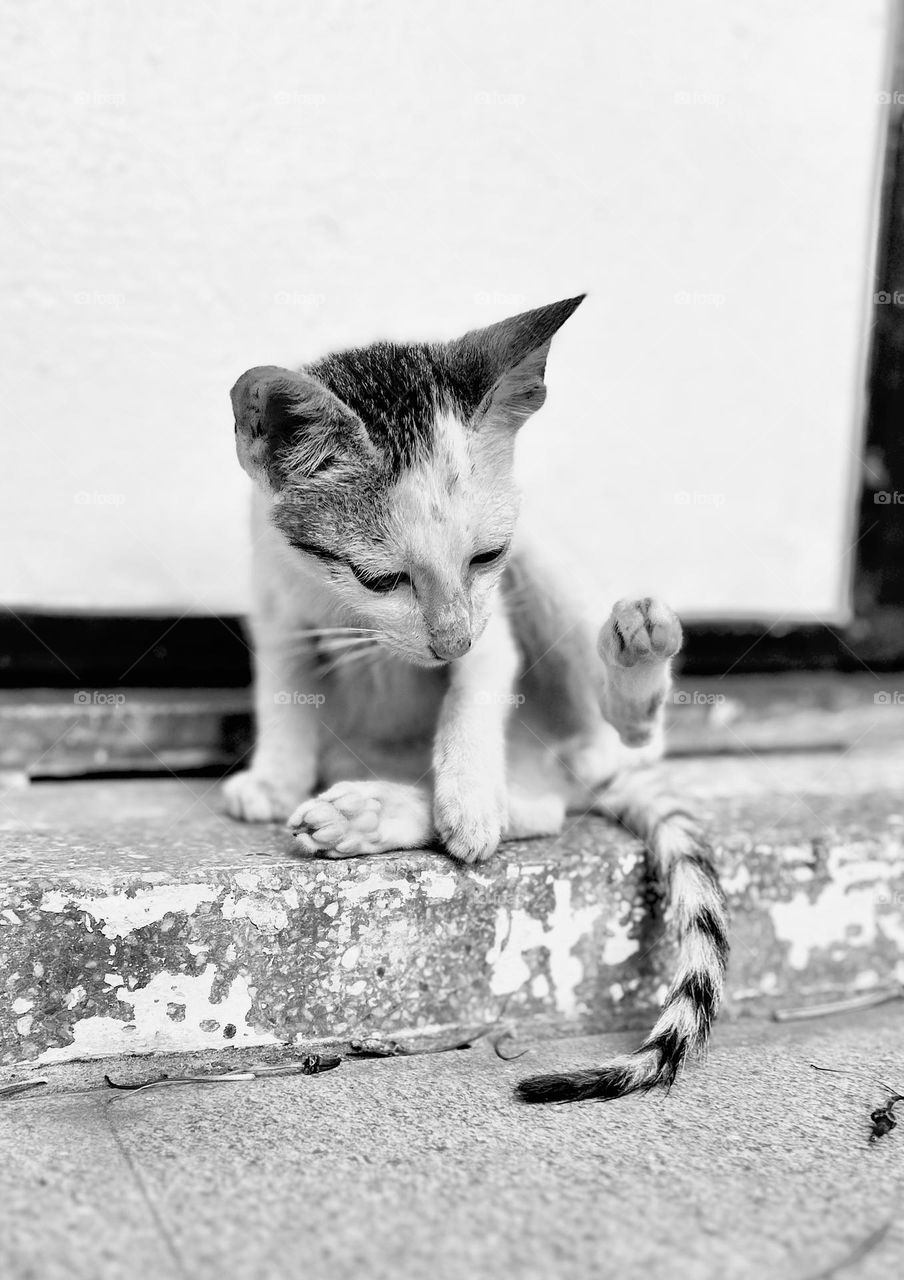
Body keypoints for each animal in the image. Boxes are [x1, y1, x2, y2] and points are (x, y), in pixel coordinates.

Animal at [224, 296, 727, 1100]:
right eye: (379, 579)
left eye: (487, 556)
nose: (449, 641)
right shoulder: (275, 607)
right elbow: (283, 692)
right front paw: (274, 776)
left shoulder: (494, 622)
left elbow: (477, 692)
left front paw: (465, 801)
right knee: (543, 803)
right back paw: (367, 812)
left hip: (555, 596)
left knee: (576, 781)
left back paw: (630, 663)